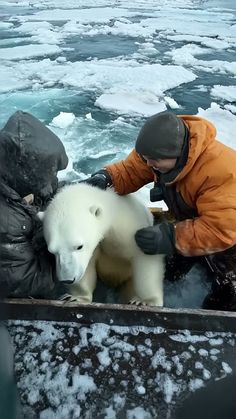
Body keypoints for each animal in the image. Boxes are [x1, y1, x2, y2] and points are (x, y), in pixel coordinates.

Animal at [37, 185, 165, 306]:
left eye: (79, 246)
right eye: (52, 251)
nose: (67, 280)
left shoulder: (130, 230)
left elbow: (145, 258)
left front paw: (146, 301)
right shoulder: (95, 248)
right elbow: (86, 268)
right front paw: (75, 297)